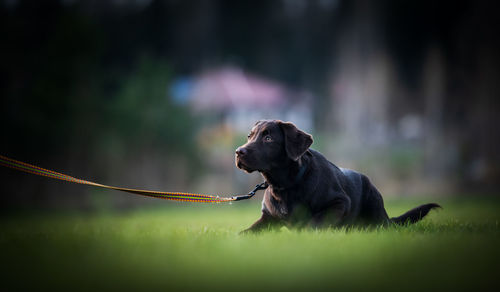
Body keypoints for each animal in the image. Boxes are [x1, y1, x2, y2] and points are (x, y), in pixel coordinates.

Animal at [235, 119, 442, 233]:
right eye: (249, 136)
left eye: (268, 138)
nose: (238, 152)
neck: (286, 185)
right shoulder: (268, 219)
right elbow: (247, 232)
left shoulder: (340, 203)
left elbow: (314, 223)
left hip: (376, 213)